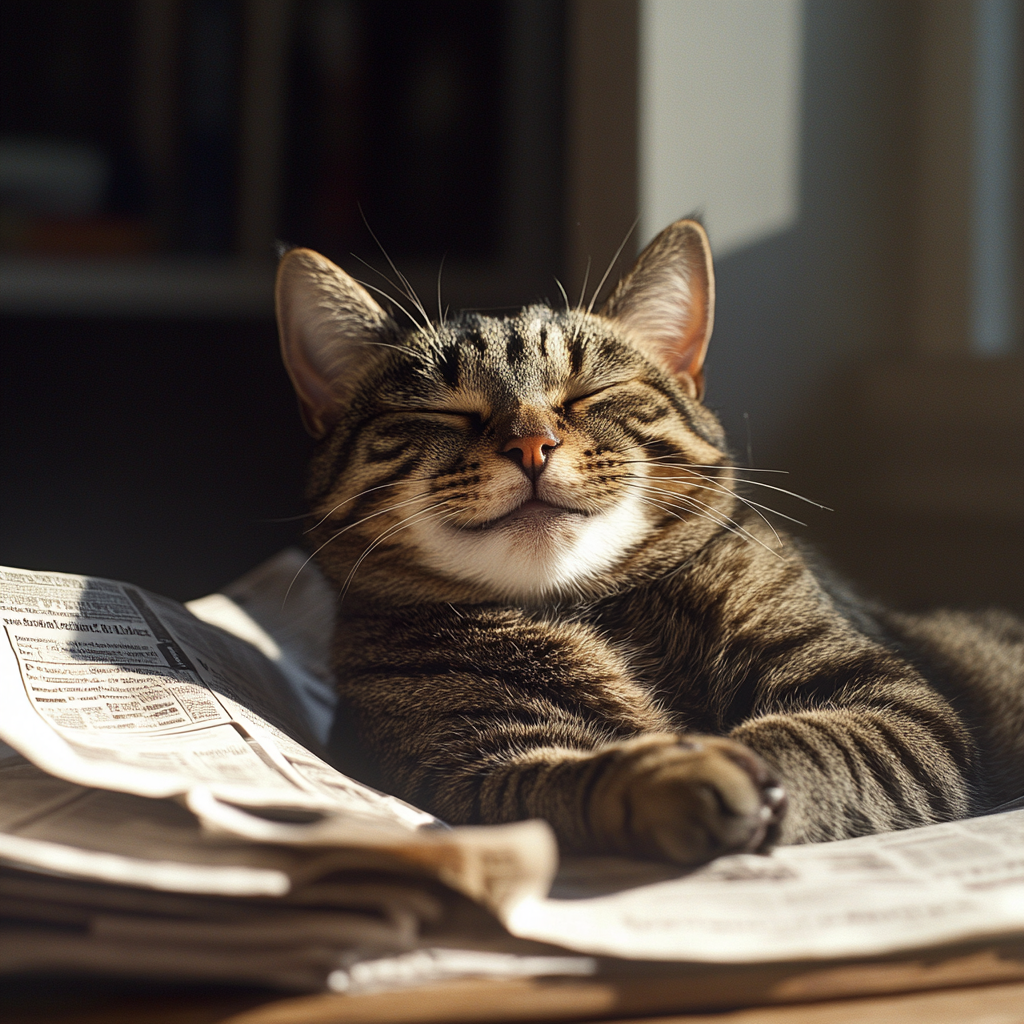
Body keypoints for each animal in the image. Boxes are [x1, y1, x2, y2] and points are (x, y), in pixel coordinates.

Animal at [274, 218, 1024, 864]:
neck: (590, 607)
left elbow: (806, 739)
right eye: (443, 410)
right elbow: (564, 777)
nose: (530, 444)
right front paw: (671, 776)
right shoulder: (473, 761)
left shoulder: (896, 703)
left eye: (589, 393)